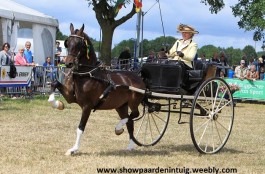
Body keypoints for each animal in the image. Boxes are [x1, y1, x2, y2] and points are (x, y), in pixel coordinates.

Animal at [48, 23, 145, 155]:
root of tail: (137, 76)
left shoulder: (87, 106)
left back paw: (118, 128)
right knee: (129, 120)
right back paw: (129, 144)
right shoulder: (70, 97)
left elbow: (80, 128)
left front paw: (74, 149)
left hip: (133, 102)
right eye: (68, 43)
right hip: (121, 106)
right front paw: (58, 104)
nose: (68, 63)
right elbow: (54, 84)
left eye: (79, 44)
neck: (86, 75)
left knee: (134, 114)